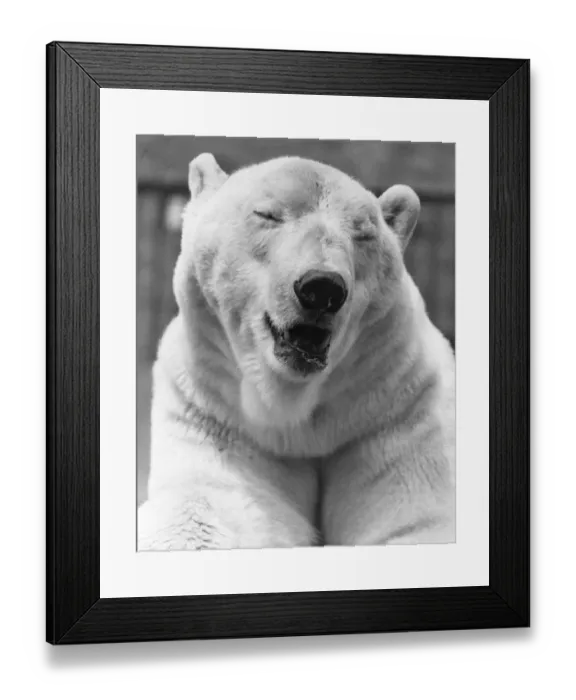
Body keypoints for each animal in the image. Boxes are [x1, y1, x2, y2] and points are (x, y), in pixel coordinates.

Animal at [137, 152, 456, 551]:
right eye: (268, 214)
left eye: (363, 233)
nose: (322, 288)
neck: (299, 423)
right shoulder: (216, 415)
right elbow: (208, 509)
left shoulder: (393, 412)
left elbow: (415, 522)